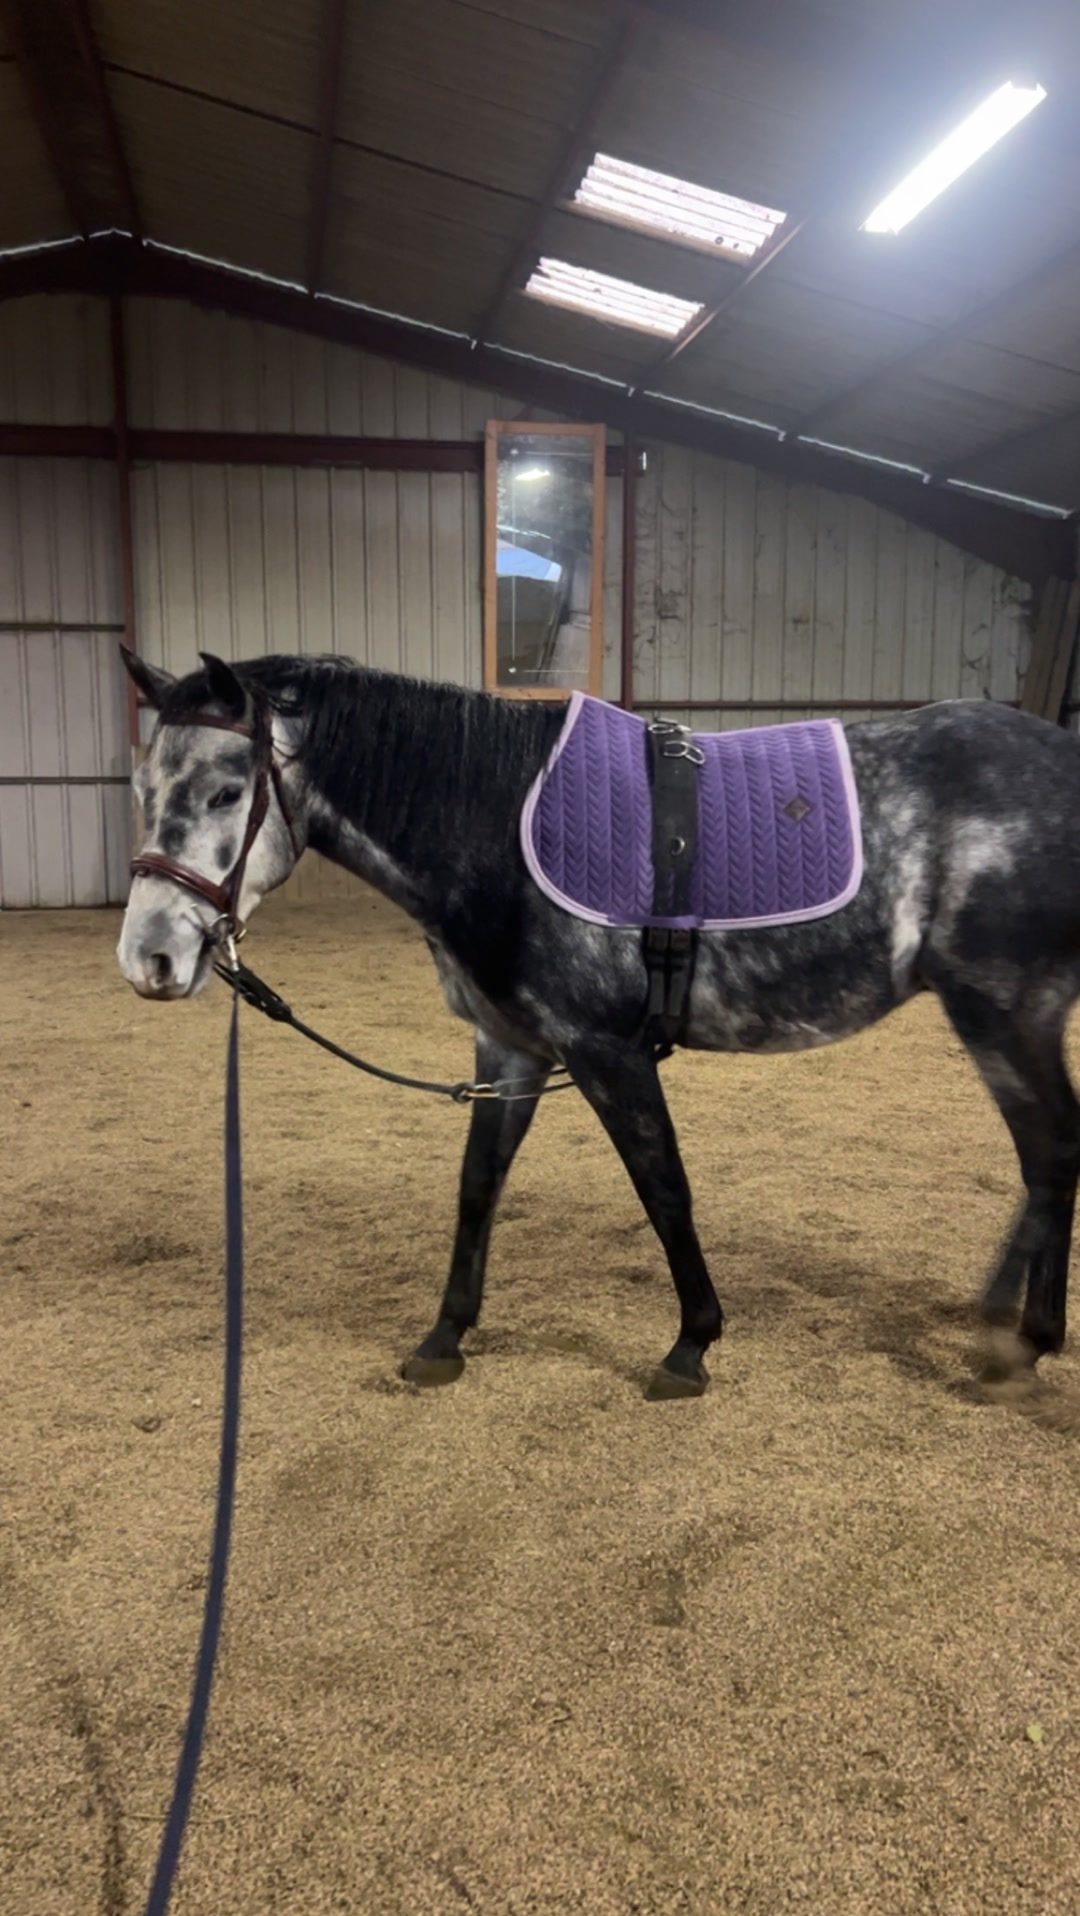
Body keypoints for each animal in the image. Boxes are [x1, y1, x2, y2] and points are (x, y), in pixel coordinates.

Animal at [117, 646, 1080, 1400]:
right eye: (141, 787)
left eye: (226, 792)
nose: (148, 959)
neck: (497, 826)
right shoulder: (509, 1049)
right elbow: (478, 1188)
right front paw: (444, 1338)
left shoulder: (605, 1051)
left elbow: (663, 1189)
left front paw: (691, 1344)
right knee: (1051, 1153)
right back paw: (1027, 1336)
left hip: (1000, 1011)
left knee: (1050, 1151)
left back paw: (1010, 1341)